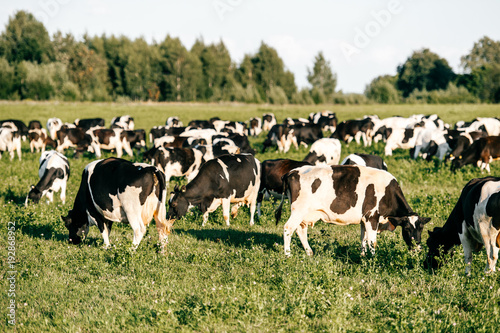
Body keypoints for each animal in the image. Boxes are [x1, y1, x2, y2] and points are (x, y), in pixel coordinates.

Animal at [274, 165, 430, 255]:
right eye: (407, 229)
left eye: (421, 229)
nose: (418, 248)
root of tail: (292, 172)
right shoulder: (372, 217)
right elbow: (372, 241)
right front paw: (373, 261)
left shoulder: (364, 220)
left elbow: (363, 239)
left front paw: (363, 257)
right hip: (298, 210)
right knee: (288, 228)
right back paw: (288, 254)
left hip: (305, 214)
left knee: (300, 230)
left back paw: (309, 252)